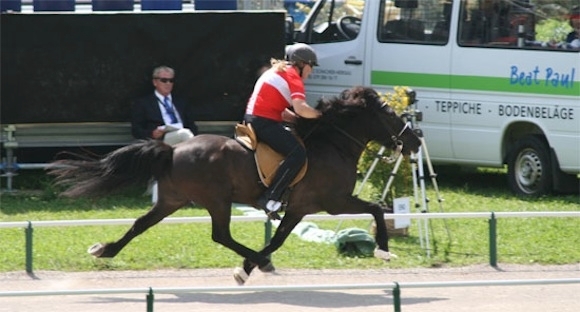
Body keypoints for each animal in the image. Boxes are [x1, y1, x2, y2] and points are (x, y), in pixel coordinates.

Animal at [49, 86, 420, 286]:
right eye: (390, 115)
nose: (416, 141)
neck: (332, 143)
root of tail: (173, 150)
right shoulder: (334, 201)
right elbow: (375, 208)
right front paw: (383, 249)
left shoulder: (300, 208)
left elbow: (279, 239)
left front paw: (250, 267)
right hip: (216, 200)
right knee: (220, 235)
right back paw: (255, 262)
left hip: (171, 200)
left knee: (141, 224)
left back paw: (105, 249)